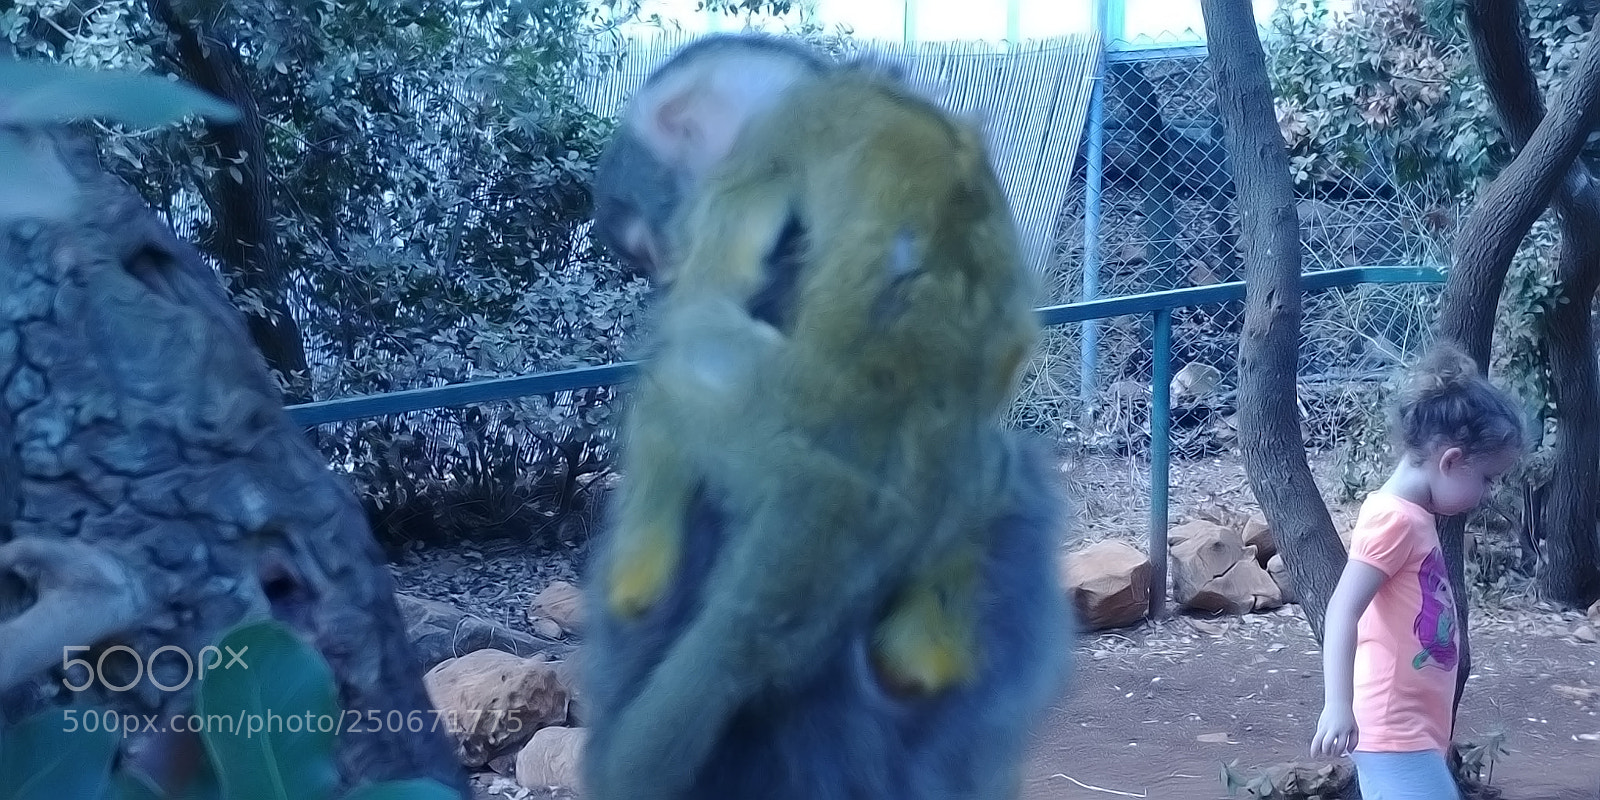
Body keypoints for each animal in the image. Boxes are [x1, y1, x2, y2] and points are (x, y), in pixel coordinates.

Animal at [581, 33, 1066, 800]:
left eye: (649, 246)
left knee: (683, 366)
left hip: (774, 433)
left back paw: (637, 576)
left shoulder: (774, 135)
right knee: (998, 465)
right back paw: (929, 650)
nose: (663, 266)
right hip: (945, 497)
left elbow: (725, 263)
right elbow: (1012, 340)